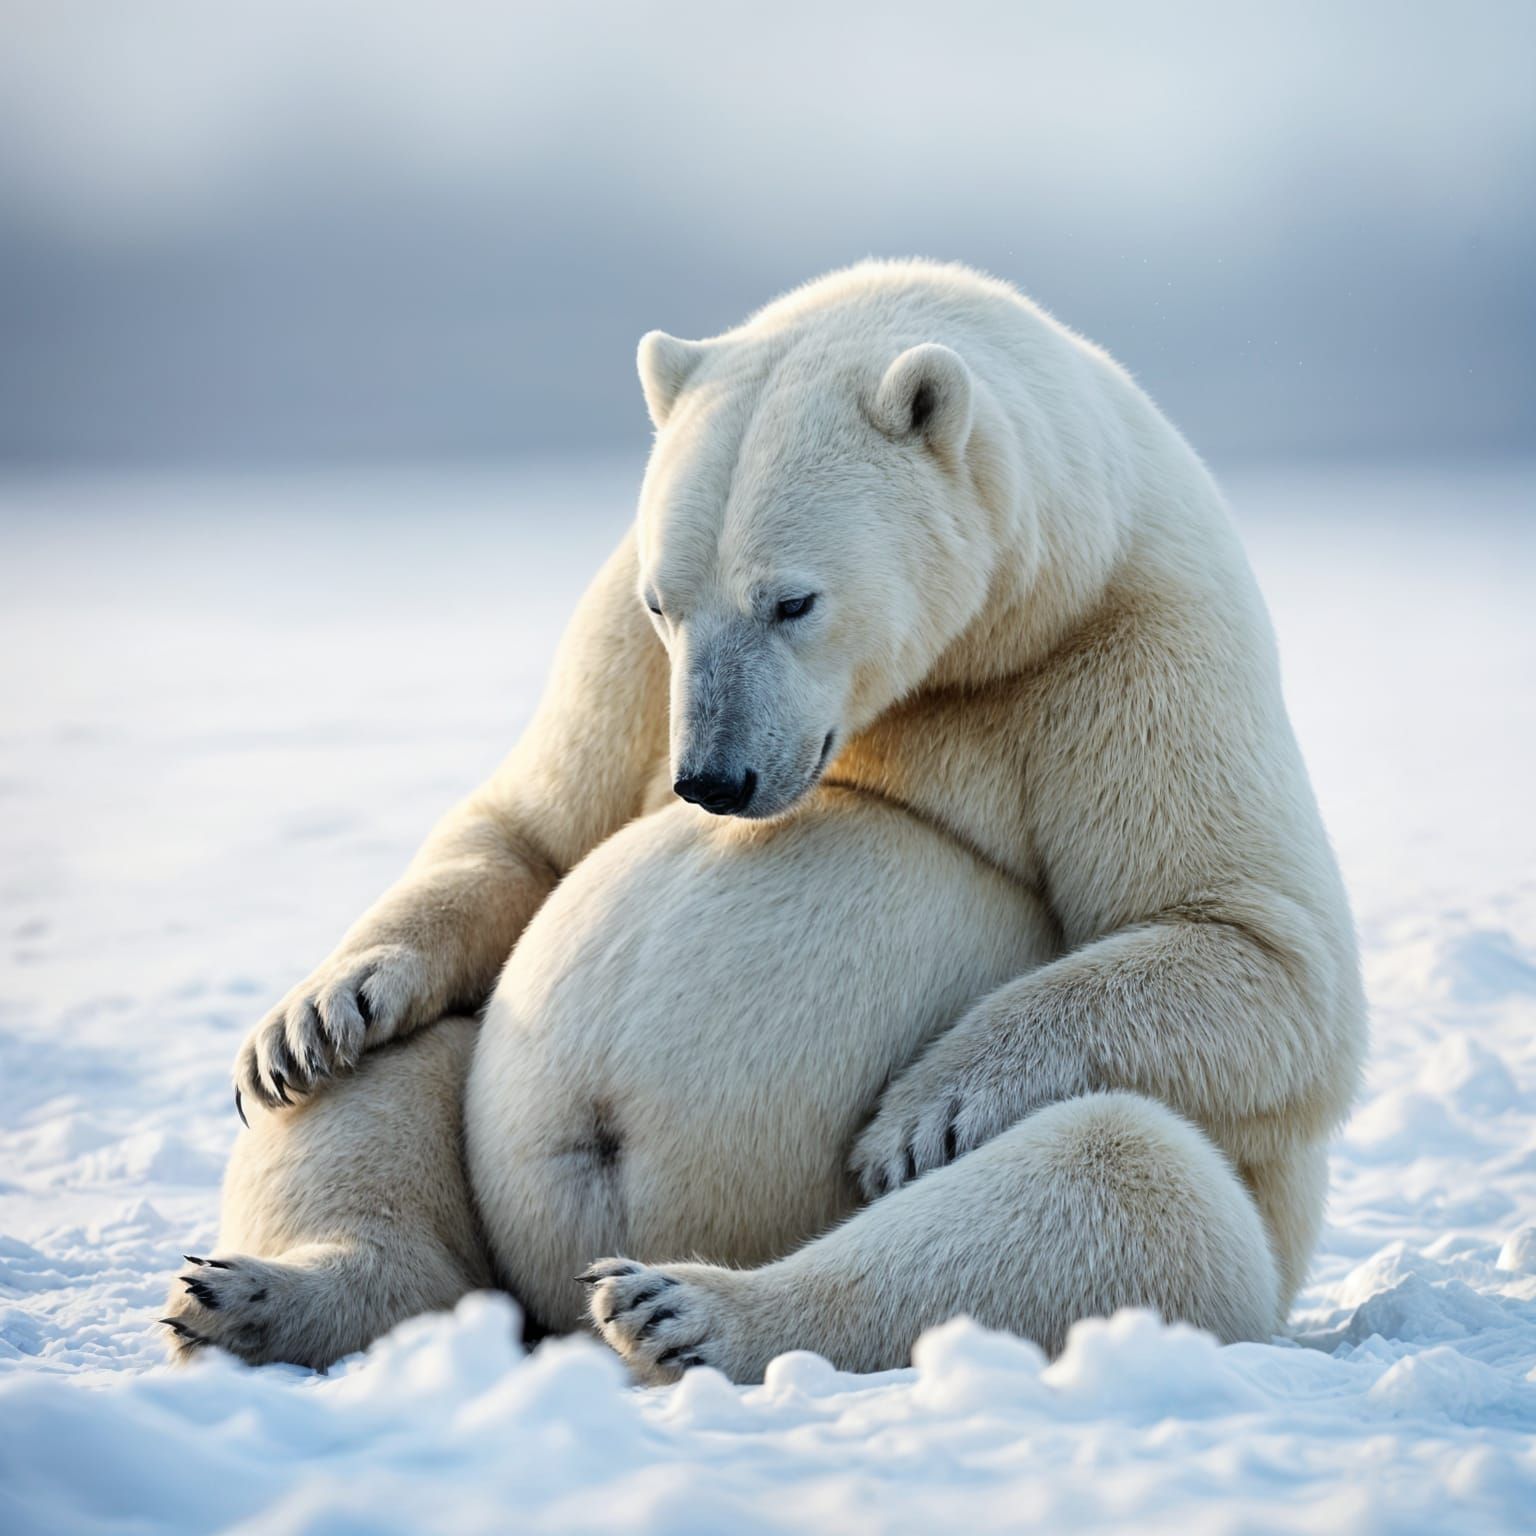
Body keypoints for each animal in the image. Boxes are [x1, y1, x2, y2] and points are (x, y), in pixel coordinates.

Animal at [161, 260, 1365, 1380]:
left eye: (793, 599)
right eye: (668, 603)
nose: (712, 779)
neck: (989, 637)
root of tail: (552, 1317)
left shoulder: (1128, 631)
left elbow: (1256, 947)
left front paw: (924, 1112)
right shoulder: (620, 640)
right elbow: (537, 828)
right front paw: (321, 1010)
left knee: (1127, 1181)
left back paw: (686, 1309)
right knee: (403, 1066)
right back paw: (268, 1282)